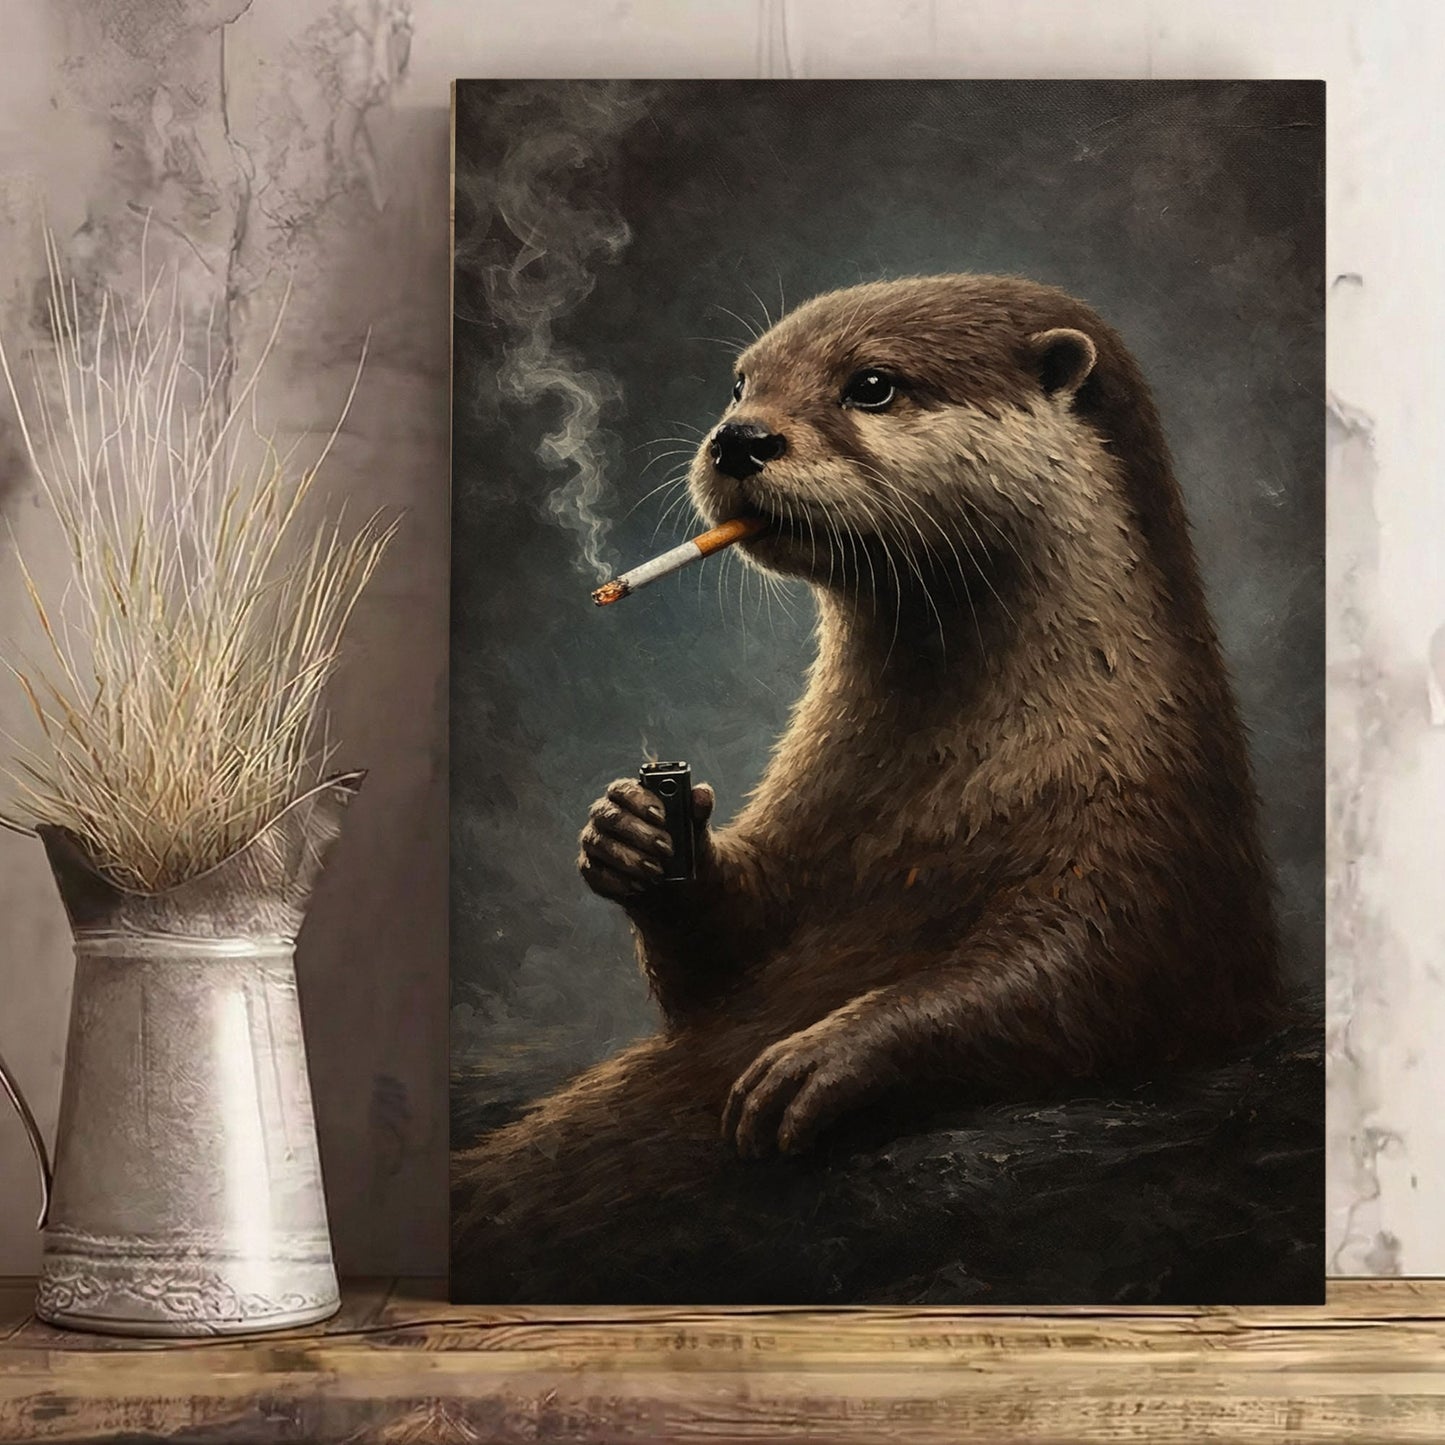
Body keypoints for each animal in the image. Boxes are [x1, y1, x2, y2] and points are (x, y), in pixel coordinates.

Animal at [452, 274, 1282, 1300]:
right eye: (739, 383)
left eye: (873, 385)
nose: (739, 438)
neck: (952, 787)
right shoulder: (809, 827)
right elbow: (723, 968)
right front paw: (638, 831)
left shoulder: (1150, 840)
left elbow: (1091, 977)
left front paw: (823, 1054)